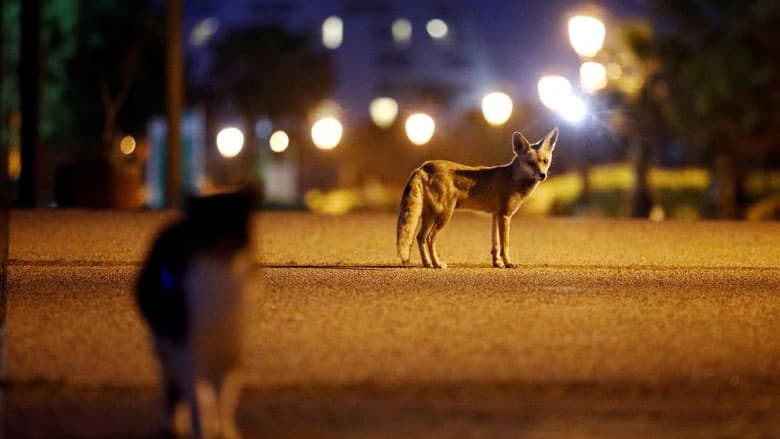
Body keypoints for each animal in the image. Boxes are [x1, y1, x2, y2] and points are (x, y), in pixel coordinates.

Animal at [396, 128, 560, 268]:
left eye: (545, 161)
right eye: (530, 163)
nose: (543, 175)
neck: (513, 178)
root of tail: (423, 166)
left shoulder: (495, 215)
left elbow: (496, 245)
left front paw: (497, 263)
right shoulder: (505, 215)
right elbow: (505, 245)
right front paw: (508, 263)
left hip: (430, 215)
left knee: (420, 237)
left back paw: (427, 264)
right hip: (444, 215)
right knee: (429, 238)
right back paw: (437, 264)